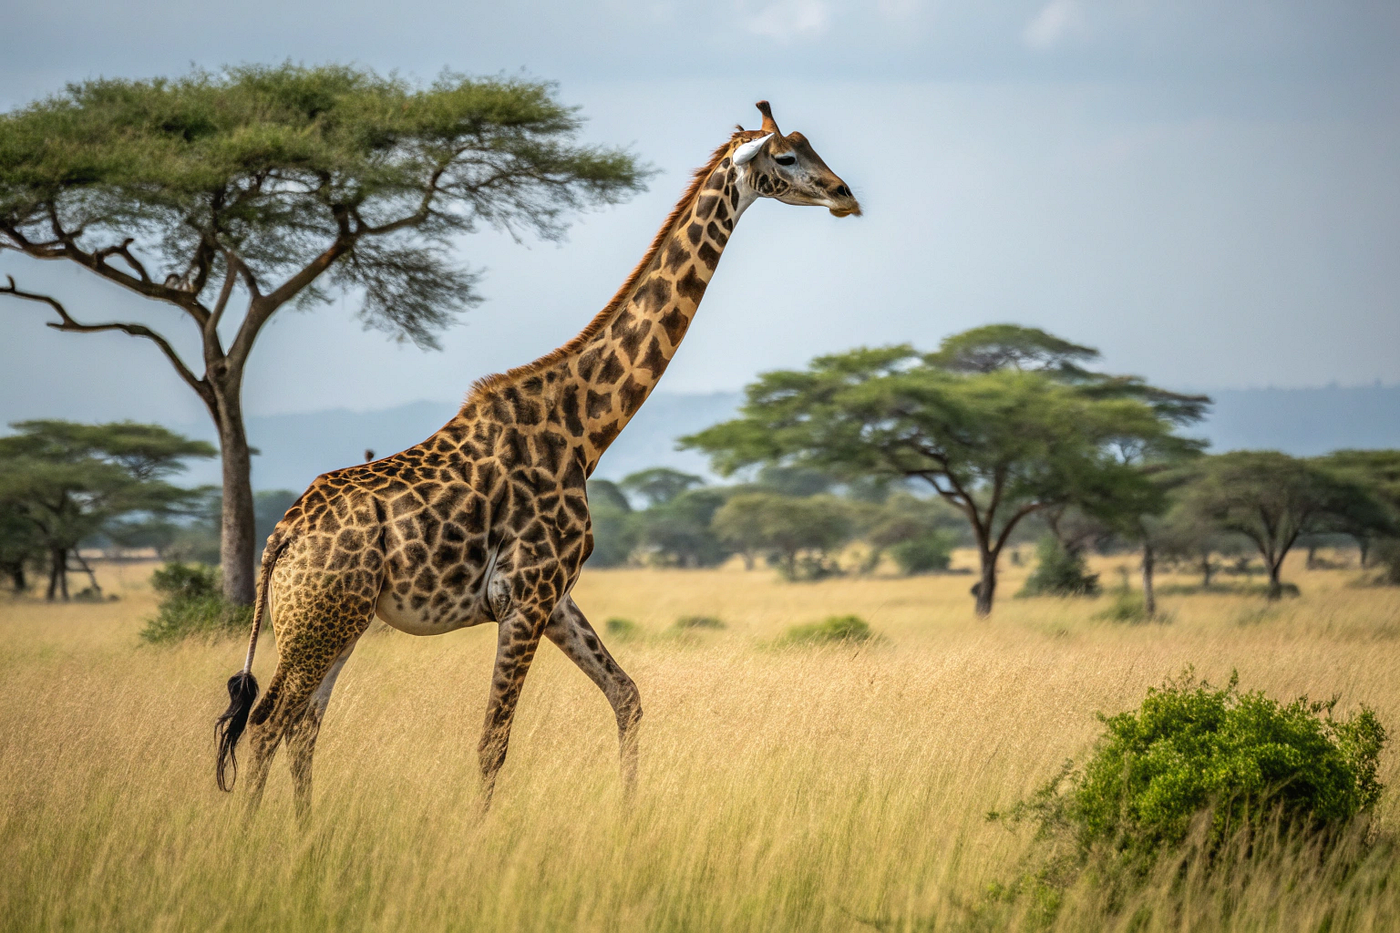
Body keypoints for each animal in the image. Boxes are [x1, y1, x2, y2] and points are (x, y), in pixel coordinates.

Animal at [214, 101, 861, 818]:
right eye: (786, 157)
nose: (845, 195)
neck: (583, 431)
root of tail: (281, 537)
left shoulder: (556, 595)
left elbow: (628, 696)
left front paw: (628, 816)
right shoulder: (525, 594)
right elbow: (493, 743)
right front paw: (479, 836)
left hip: (335, 621)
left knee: (301, 728)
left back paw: (304, 833)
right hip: (320, 621)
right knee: (270, 724)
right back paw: (257, 838)